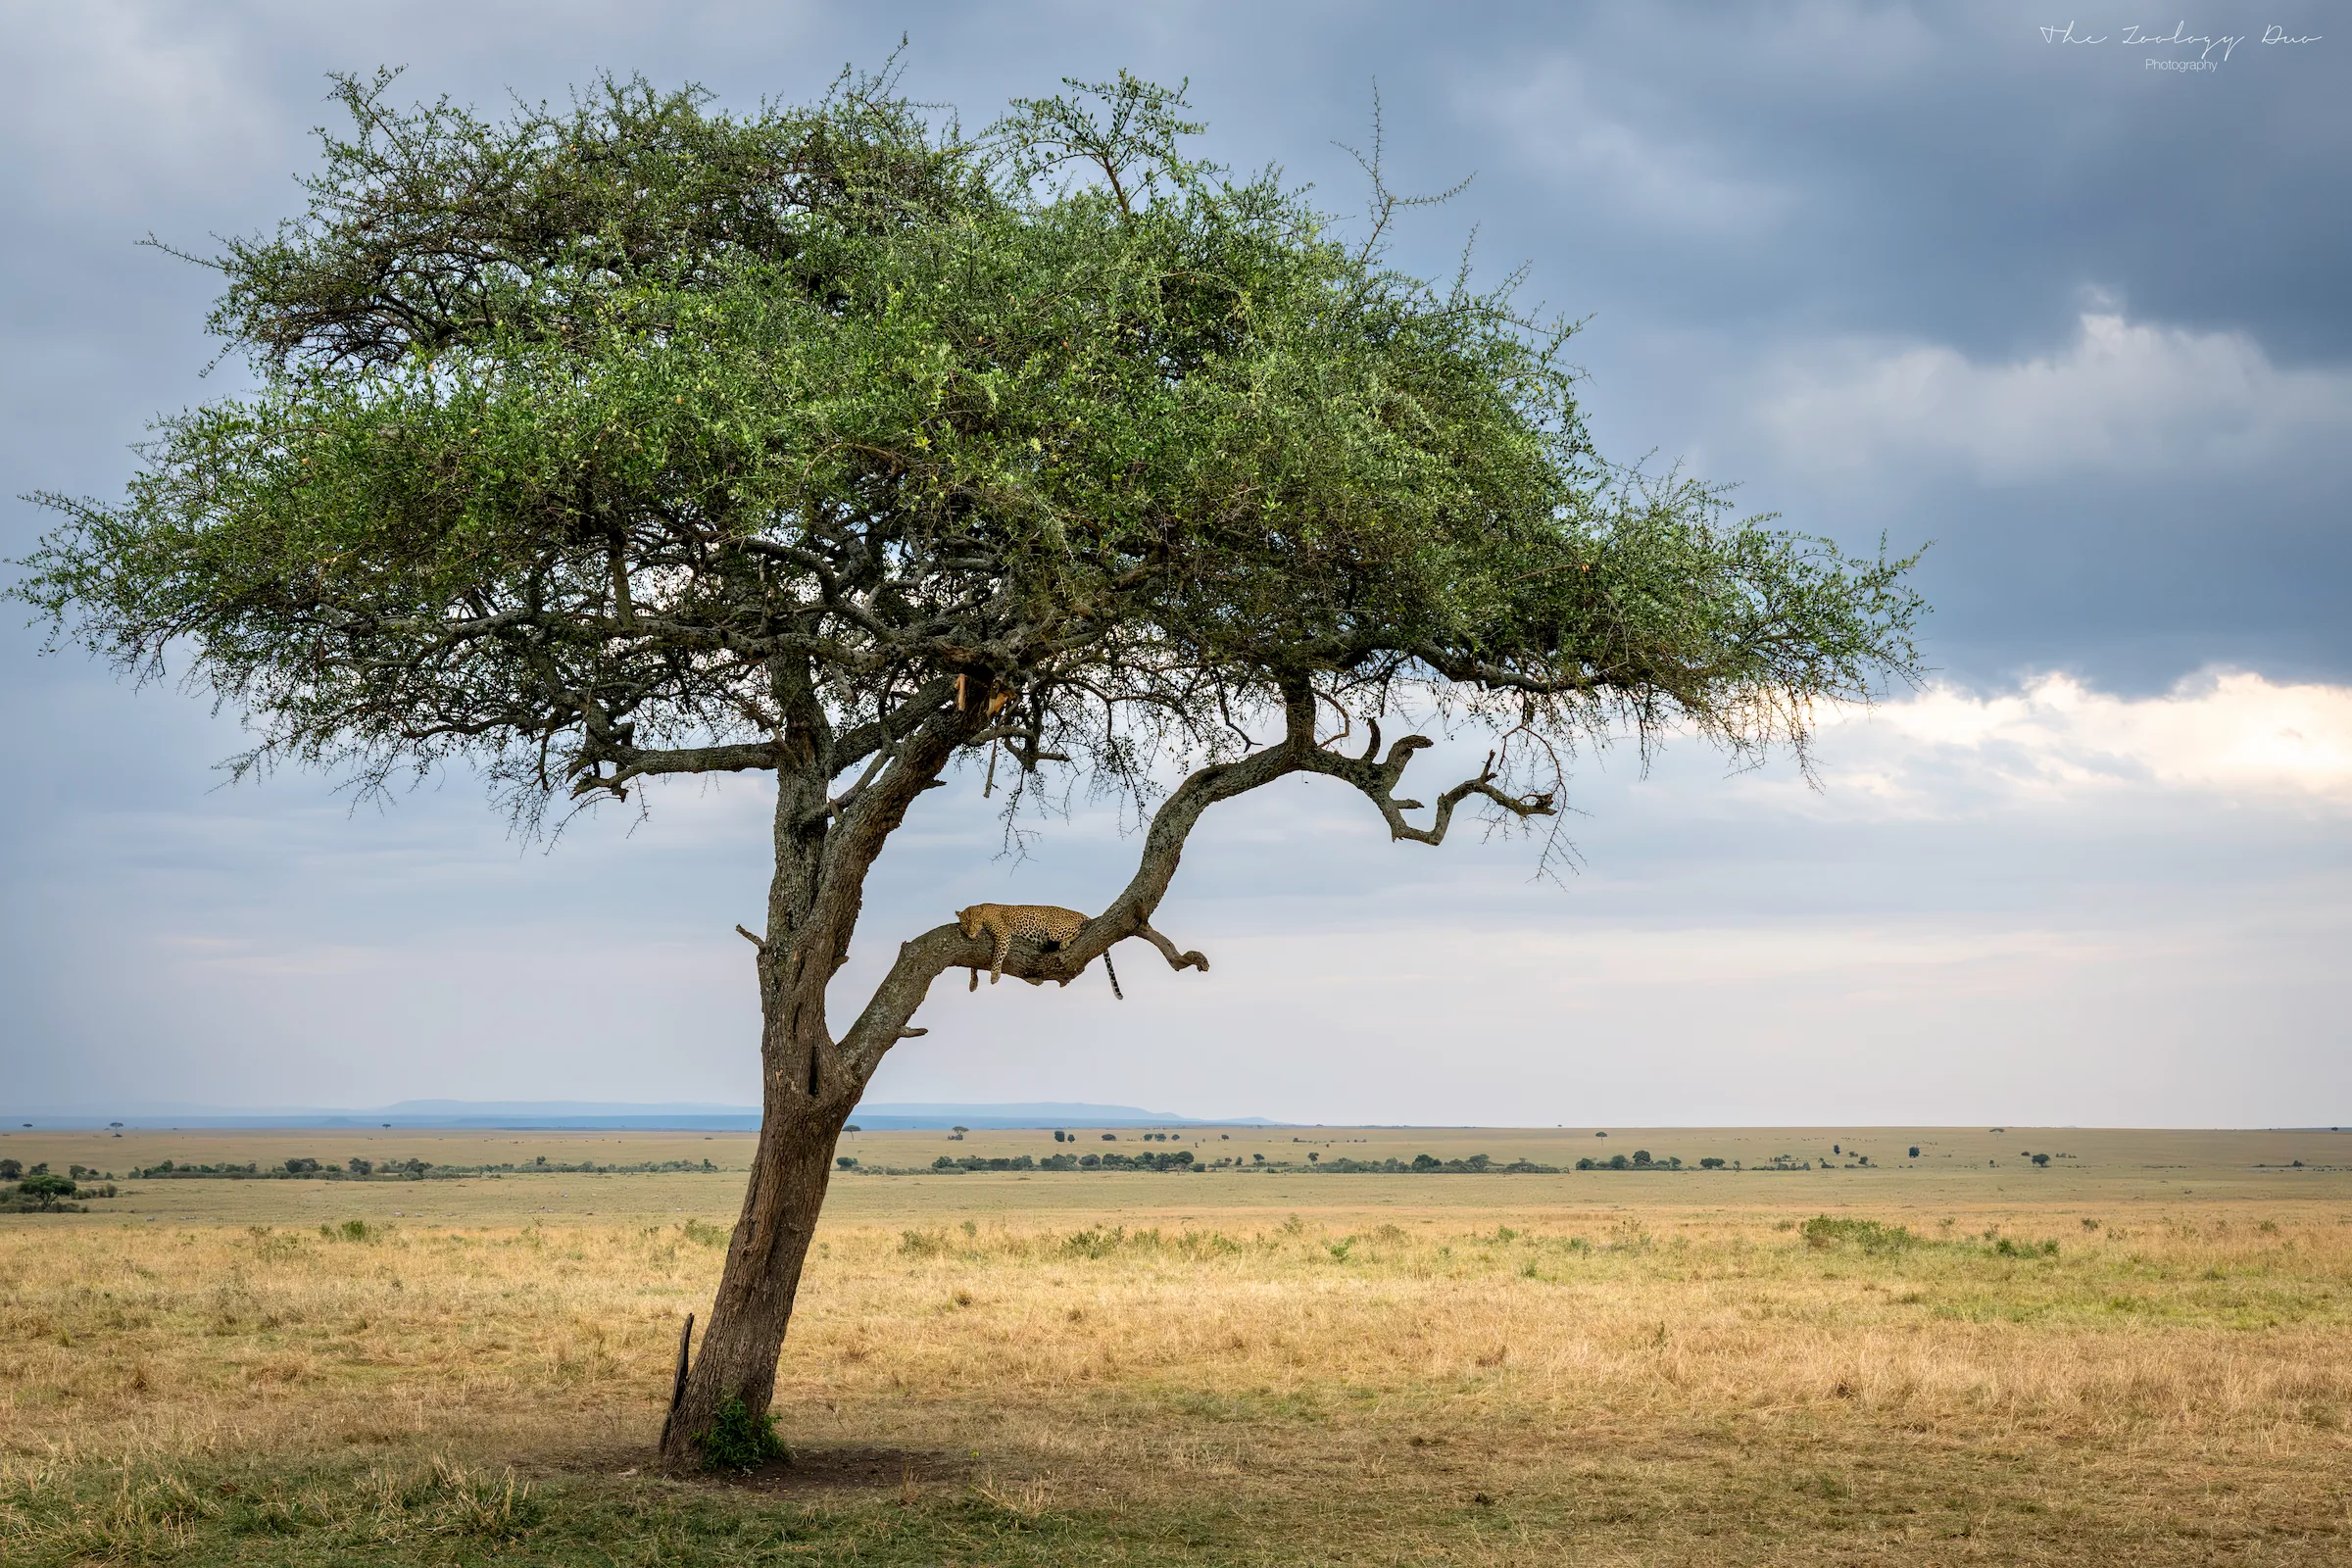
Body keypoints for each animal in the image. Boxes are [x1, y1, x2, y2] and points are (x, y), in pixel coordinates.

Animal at [955, 903, 1122, 999]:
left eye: (974, 922)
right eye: (965, 923)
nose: (970, 933)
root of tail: (1081, 913)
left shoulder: (1003, 933)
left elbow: (998, 954)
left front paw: (995, 975)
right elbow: (973, 963)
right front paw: (973, 983)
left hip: (1053, 928)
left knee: (1080, 929)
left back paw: (1065, 942)